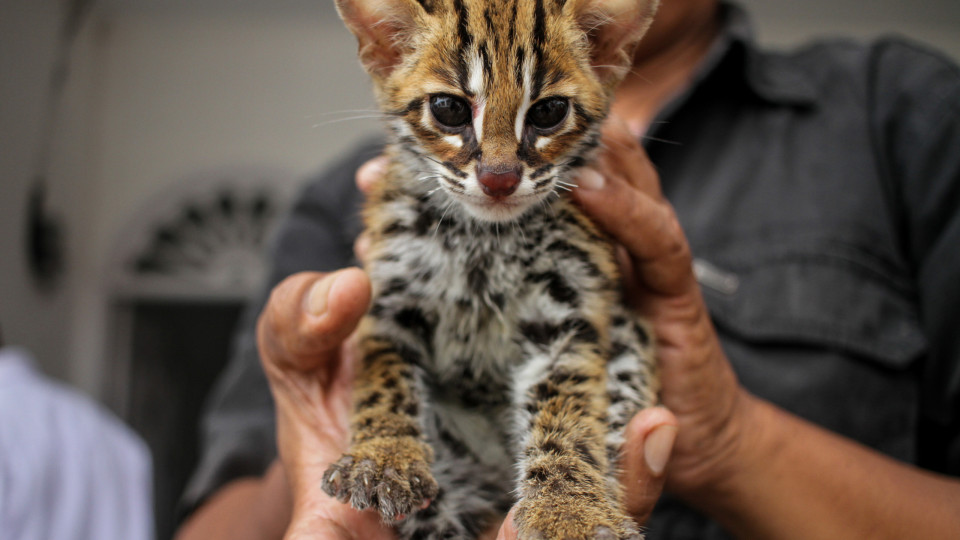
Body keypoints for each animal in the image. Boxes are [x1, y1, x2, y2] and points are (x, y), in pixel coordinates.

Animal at [322, 1, 660, 540]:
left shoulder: (568, 315)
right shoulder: (391, 295)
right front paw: (383, 457)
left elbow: (568, 410)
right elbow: (384, 379)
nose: (499, 179)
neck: (485, 238)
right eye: (449, 108)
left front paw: (571, 508)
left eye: (548, 112)